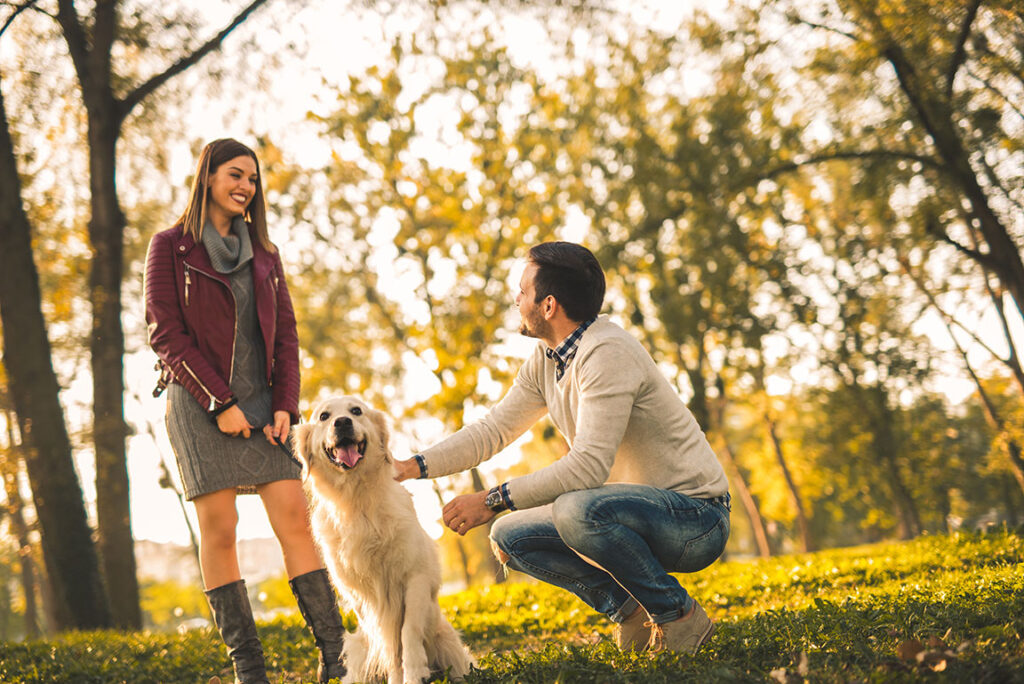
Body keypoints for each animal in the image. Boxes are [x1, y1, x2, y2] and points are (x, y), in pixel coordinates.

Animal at [292, 395, 475, 684]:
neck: (357, 500)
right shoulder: (362, 597)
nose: (342, 422)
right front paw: (398, 676)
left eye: (356, 411)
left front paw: (413, 672)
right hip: (358, 646)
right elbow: (391, 644)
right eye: (323, 416)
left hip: (447, 642)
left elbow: (407, 632)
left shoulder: (415, 577)